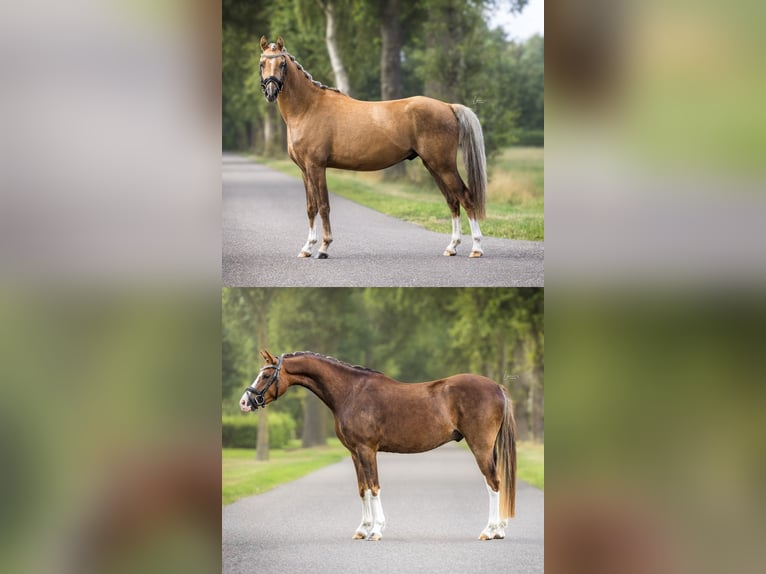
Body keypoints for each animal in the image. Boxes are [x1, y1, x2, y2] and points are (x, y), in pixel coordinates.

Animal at [239, 350, 516, 541]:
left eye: (266, 375)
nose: (244, 402)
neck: (351, 392)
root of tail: (497, 387)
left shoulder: (366, 449)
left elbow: (374, 487)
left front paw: (376, 531)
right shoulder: (354, 453)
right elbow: (362, 489)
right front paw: (362, 529)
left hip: (480, 447)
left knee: (493, 483)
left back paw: (489, 531)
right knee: (497, 482)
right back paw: (500, 530)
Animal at [258, 36, 488, 259]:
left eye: (282, 63)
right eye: (262, 63)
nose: (271, 91)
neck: (307, 108)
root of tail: (448, 107)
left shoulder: (316, 167)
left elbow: (323, 206)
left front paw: (324, 247)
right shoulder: (305, 170)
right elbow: (311, 207)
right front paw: (307, 248)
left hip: (444, 166)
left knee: (466, 198)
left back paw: (476, 248)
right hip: (433, 166)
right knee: (452, 201)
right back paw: (452, 247)